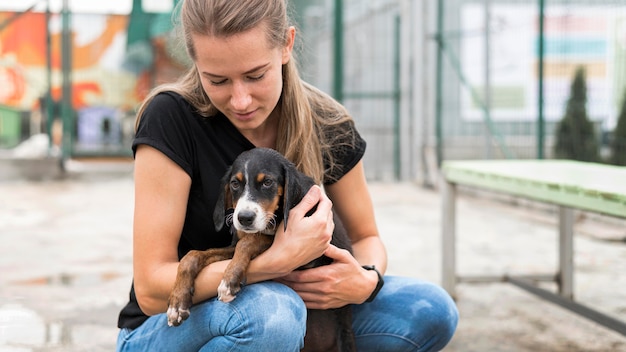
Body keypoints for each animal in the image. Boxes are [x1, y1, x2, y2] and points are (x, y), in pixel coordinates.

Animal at [167, 148, 356, 352]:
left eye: (267, 182)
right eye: (235, 184)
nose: (244, 218)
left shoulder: (311, 251)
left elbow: (250, 241)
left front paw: (230, 280)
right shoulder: (232, 248)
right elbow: (193, 255)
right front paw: (177, 303)